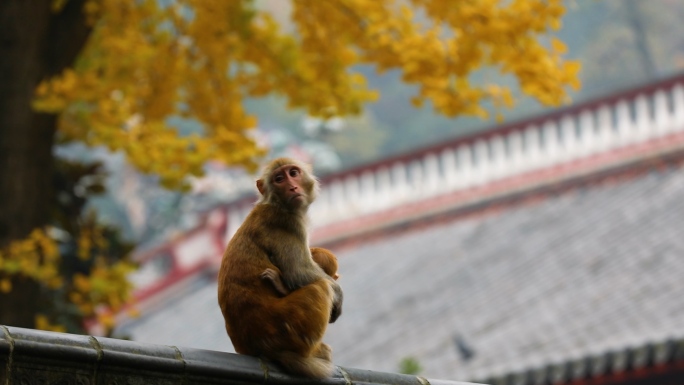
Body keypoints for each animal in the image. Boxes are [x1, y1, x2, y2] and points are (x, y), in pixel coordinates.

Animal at [218, 157, 344, 378]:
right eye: (279, 179)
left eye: (293, 173)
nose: (292, 186)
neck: (274, 203)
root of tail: (260, 349)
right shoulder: (287, 223)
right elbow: (299, 272)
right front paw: (339, 296)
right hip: (286, 329)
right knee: (320, 288)